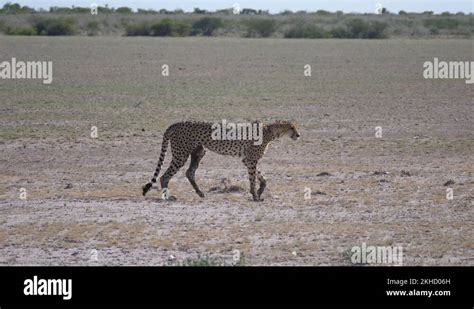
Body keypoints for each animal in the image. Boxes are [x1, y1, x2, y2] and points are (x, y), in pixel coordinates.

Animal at [141, 119, 300, 201]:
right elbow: (253, 178)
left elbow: (261, 177)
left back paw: (200, 193)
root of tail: (174, 124)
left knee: (189, 172)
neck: (270, 132)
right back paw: (167, 196)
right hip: (181, 154)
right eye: (292, 127)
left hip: (199, 152)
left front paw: (260, 191)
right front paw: (255, 195)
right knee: (164, 176)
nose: (298, 135)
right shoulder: (251, 160)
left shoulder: (247, 160)